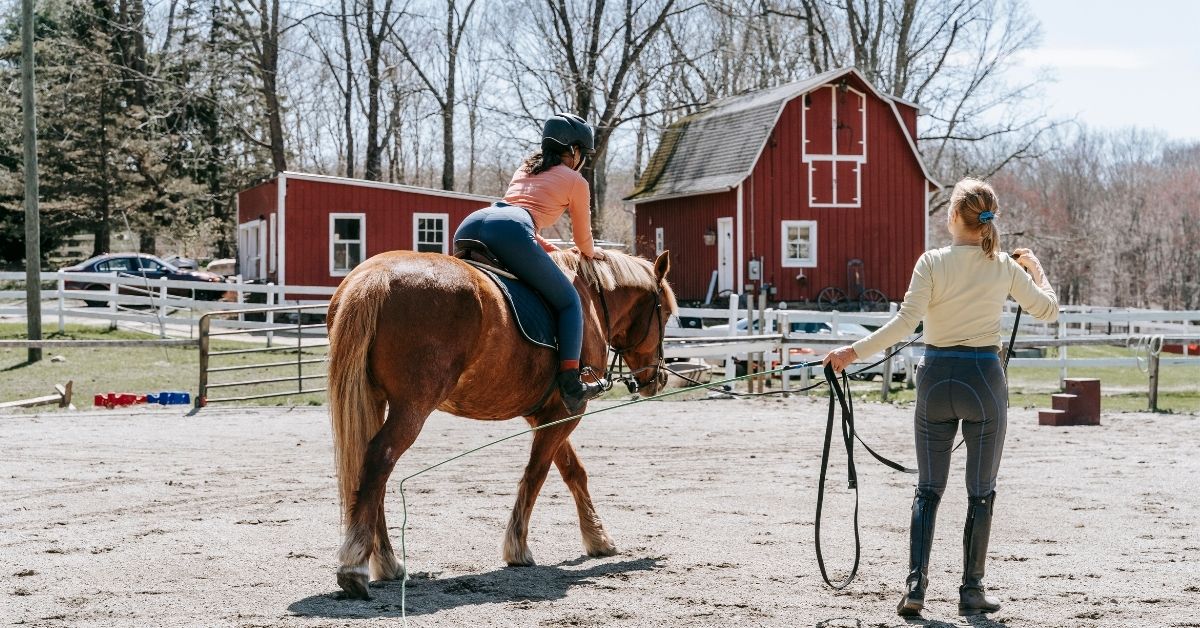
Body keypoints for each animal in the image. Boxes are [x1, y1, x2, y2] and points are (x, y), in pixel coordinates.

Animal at [324, 247, 676, 600]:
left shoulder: (547, 414)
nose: (658, 378)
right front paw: (517, 547)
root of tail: (378, 274)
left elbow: (573, 471)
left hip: (374, 399)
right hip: (411, 408)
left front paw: (597, 537)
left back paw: (385, 561)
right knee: (378, 461)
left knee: (370, 473)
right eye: (667, 315)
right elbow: (536, 474)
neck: (591, 298)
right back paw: (356, 566)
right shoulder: (567, 412)